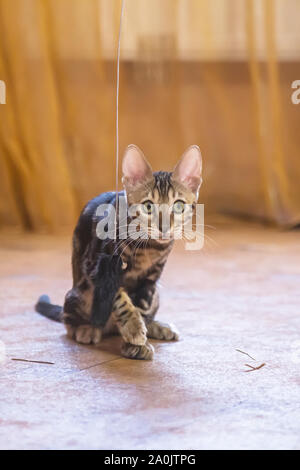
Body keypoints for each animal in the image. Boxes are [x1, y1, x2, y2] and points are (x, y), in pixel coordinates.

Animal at [36, 144, 203, 360]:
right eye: (148, 206)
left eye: (179, 206)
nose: (164, 228)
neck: (149, 247)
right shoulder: (97, 266)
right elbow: (120, 298)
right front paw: (133, 330)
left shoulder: (149, 281)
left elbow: (140, 308)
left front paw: (136, 342)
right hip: (78, 294)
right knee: (69, 321)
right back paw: (87, 329)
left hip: (155, 294)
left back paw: (157, 327)